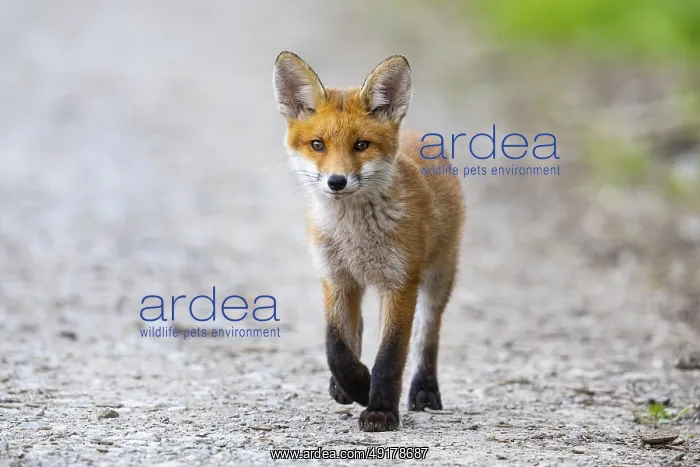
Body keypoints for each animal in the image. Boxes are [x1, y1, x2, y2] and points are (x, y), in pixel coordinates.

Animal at [272, 51, 466, 432]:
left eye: (361, 145)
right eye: (318, 145)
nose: (336, 181)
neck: (354, 238)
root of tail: (418, 136)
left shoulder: (400, 283)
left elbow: (390, 357)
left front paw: (380, 409)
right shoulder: (334, 277)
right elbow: (336, 347)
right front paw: (357, 384)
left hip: (439, 277)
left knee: (427, 335)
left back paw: (424, 389)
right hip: (359, 285)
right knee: (357, 329)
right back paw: (343, 386)